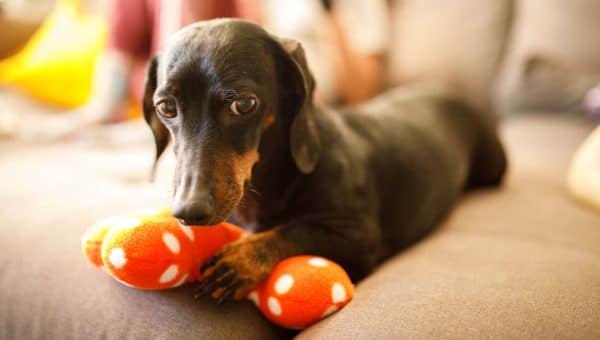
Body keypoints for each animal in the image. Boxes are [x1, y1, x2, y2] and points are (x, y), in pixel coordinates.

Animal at [143, 19, 504, 302]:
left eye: (244, 103)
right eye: (166, 108)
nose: (188, 212)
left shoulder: (361, 239)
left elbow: (296, 230)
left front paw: (243, 259)